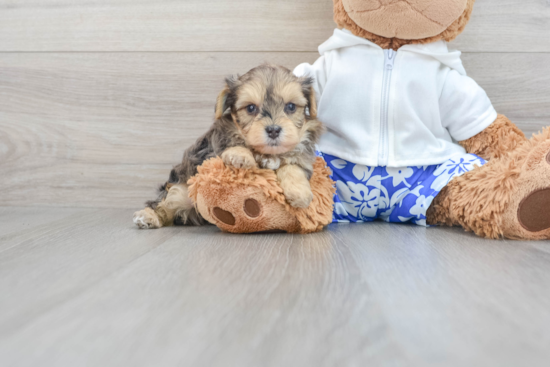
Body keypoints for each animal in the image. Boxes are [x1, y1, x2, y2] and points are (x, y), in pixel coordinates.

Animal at [133, 64, 324, 229]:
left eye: (290, 106)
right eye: (251, 108)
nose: (273, 130)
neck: (266, 153)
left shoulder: (302, 156)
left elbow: (293, 166)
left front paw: (300, 193)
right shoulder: (212, 150)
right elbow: (230, 145)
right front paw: (240, 155)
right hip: (181, 190)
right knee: (166, 203)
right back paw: (148, 216)